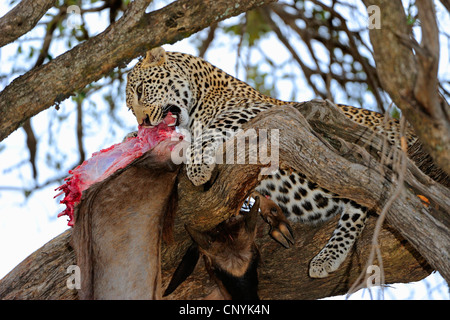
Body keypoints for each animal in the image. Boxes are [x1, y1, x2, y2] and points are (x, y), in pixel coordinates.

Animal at [125, 47, 416, 278]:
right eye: (130, 108)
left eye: (140, 90)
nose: (144, 122)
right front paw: (134, 139)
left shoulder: (264, 111)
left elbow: (214, 127)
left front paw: (197, 166)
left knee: (360, 200)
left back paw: (327, 256)